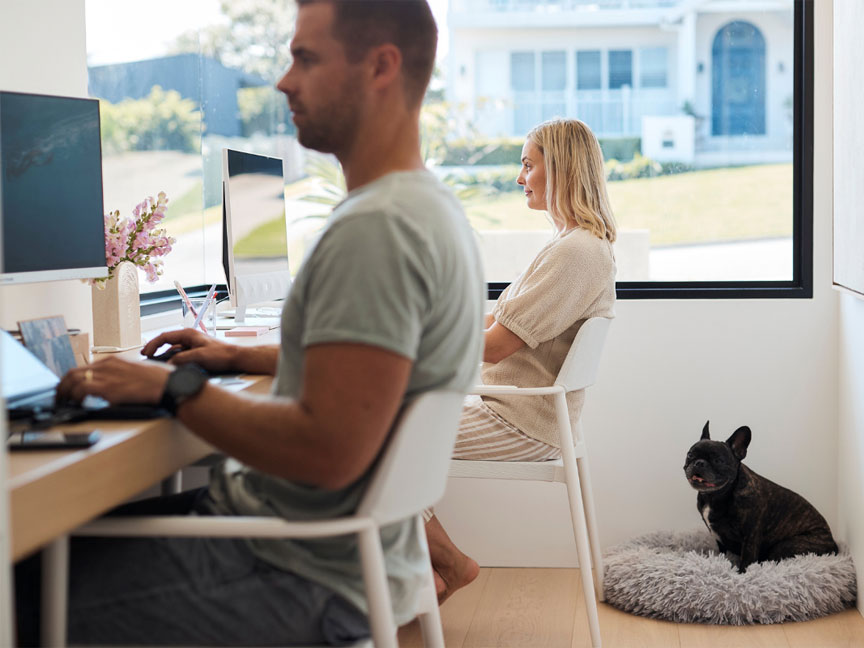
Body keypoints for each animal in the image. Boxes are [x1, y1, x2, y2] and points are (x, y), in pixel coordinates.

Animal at [680, 422, 836, 576]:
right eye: (690, 454)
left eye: (718, 460)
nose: (699, 462)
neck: (715, 495)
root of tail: (833, 544)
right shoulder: (719, 537)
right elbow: (722, 554)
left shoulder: (750, 536)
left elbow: (747, 560)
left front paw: (742, 575)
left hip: (787, 545)